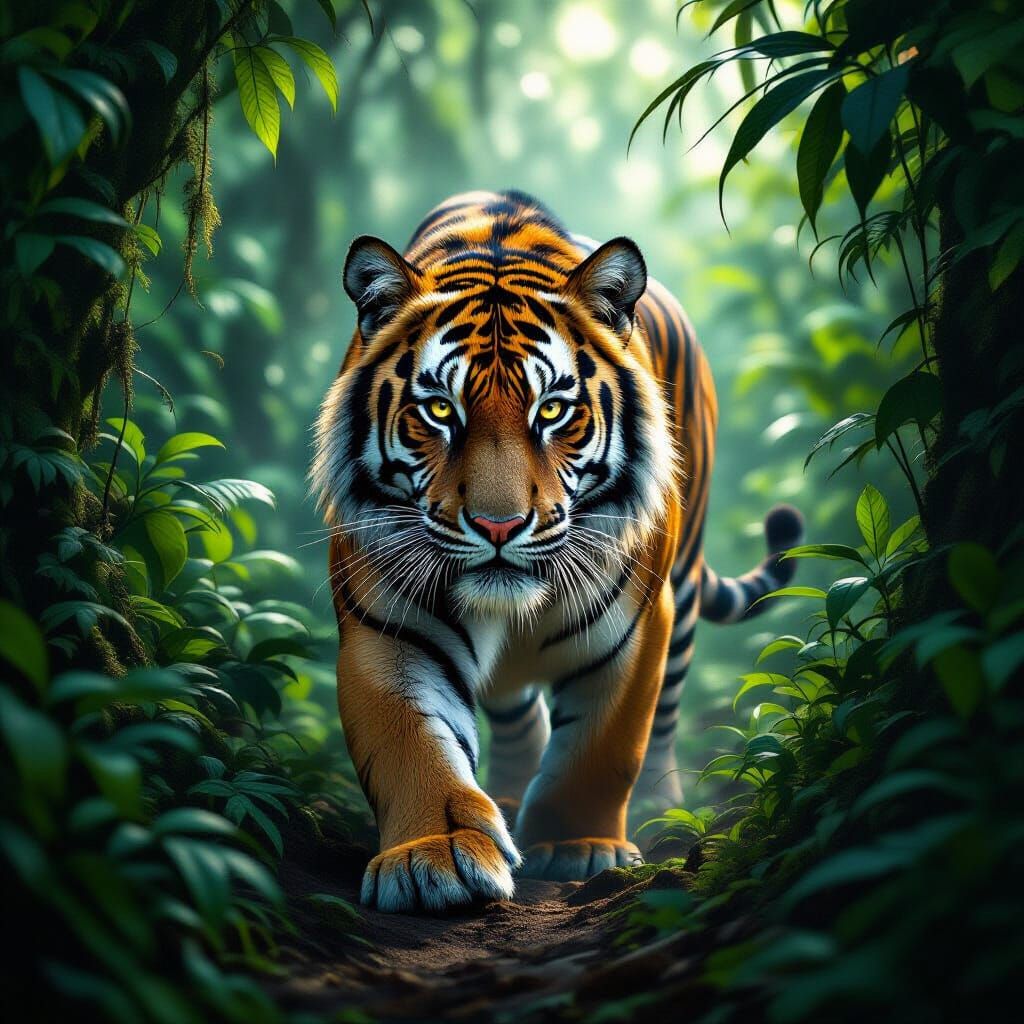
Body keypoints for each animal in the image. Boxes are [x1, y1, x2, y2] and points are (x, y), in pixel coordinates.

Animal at [312, 190, 802, 913]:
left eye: (551, 411)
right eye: (439, 410)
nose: (498, 525)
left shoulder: (638, 623)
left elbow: (605, 746)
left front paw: (578, 846)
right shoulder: (388, 627)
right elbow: (412, 743)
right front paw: (433, 855)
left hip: (682, 594)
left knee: (664, 716)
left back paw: (657, 806)